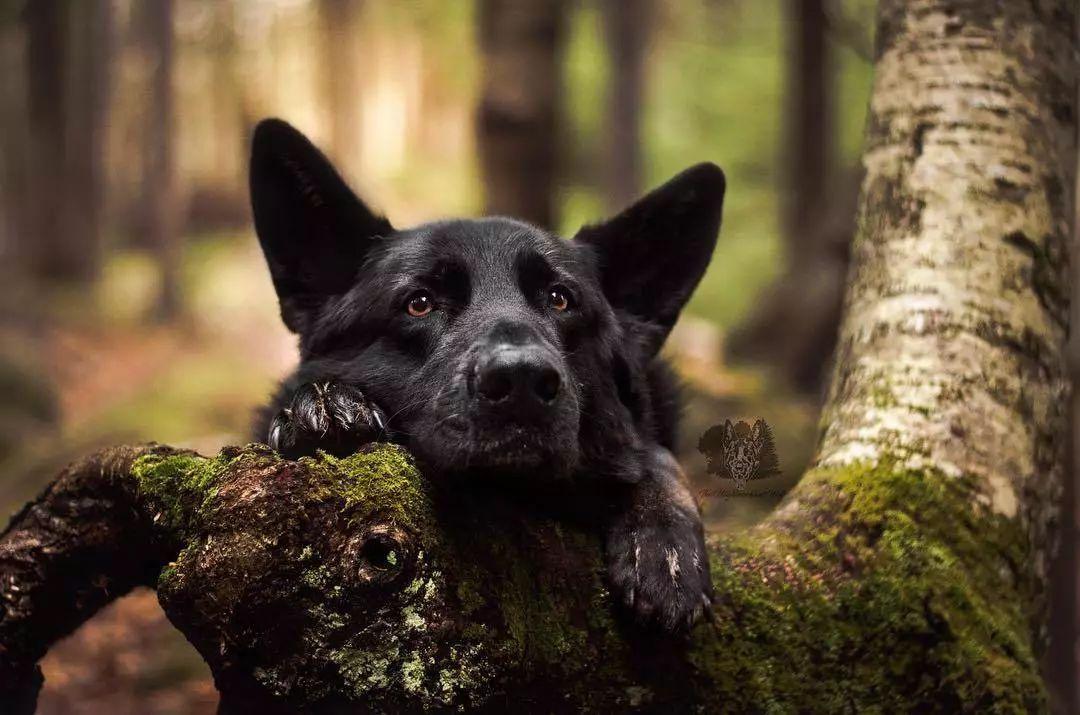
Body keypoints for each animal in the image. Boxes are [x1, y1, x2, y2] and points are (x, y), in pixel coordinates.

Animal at [250, 118, 725, 635]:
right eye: (419, 303)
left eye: (560, 298)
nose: (521, 383)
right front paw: (323, 407)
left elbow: (657, 454)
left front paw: (665, 542)